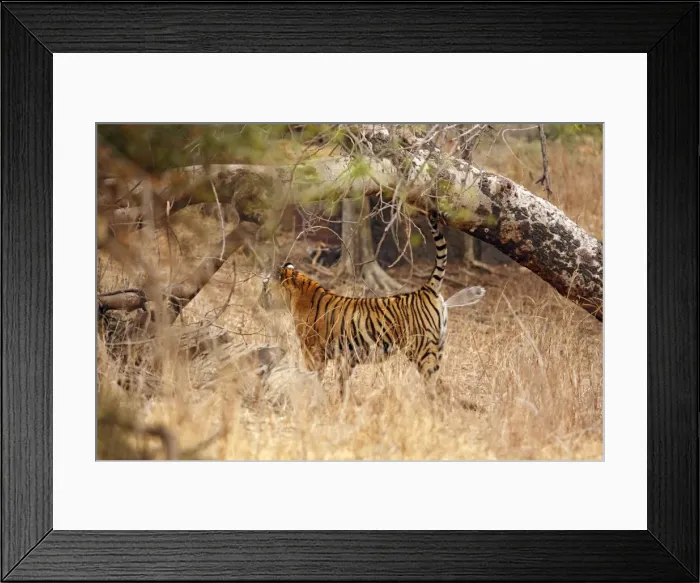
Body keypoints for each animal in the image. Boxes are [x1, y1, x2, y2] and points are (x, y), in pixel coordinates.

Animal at [260, 209, 484, 399]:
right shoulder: (344, 358)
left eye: (264, 286)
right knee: (442, 386)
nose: (259, 300)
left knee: (433, 385)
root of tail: (426, 289)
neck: (296, 294)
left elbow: (314, 376)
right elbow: (342, 384)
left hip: (423, 350)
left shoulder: (312, 351)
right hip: (438, 348)